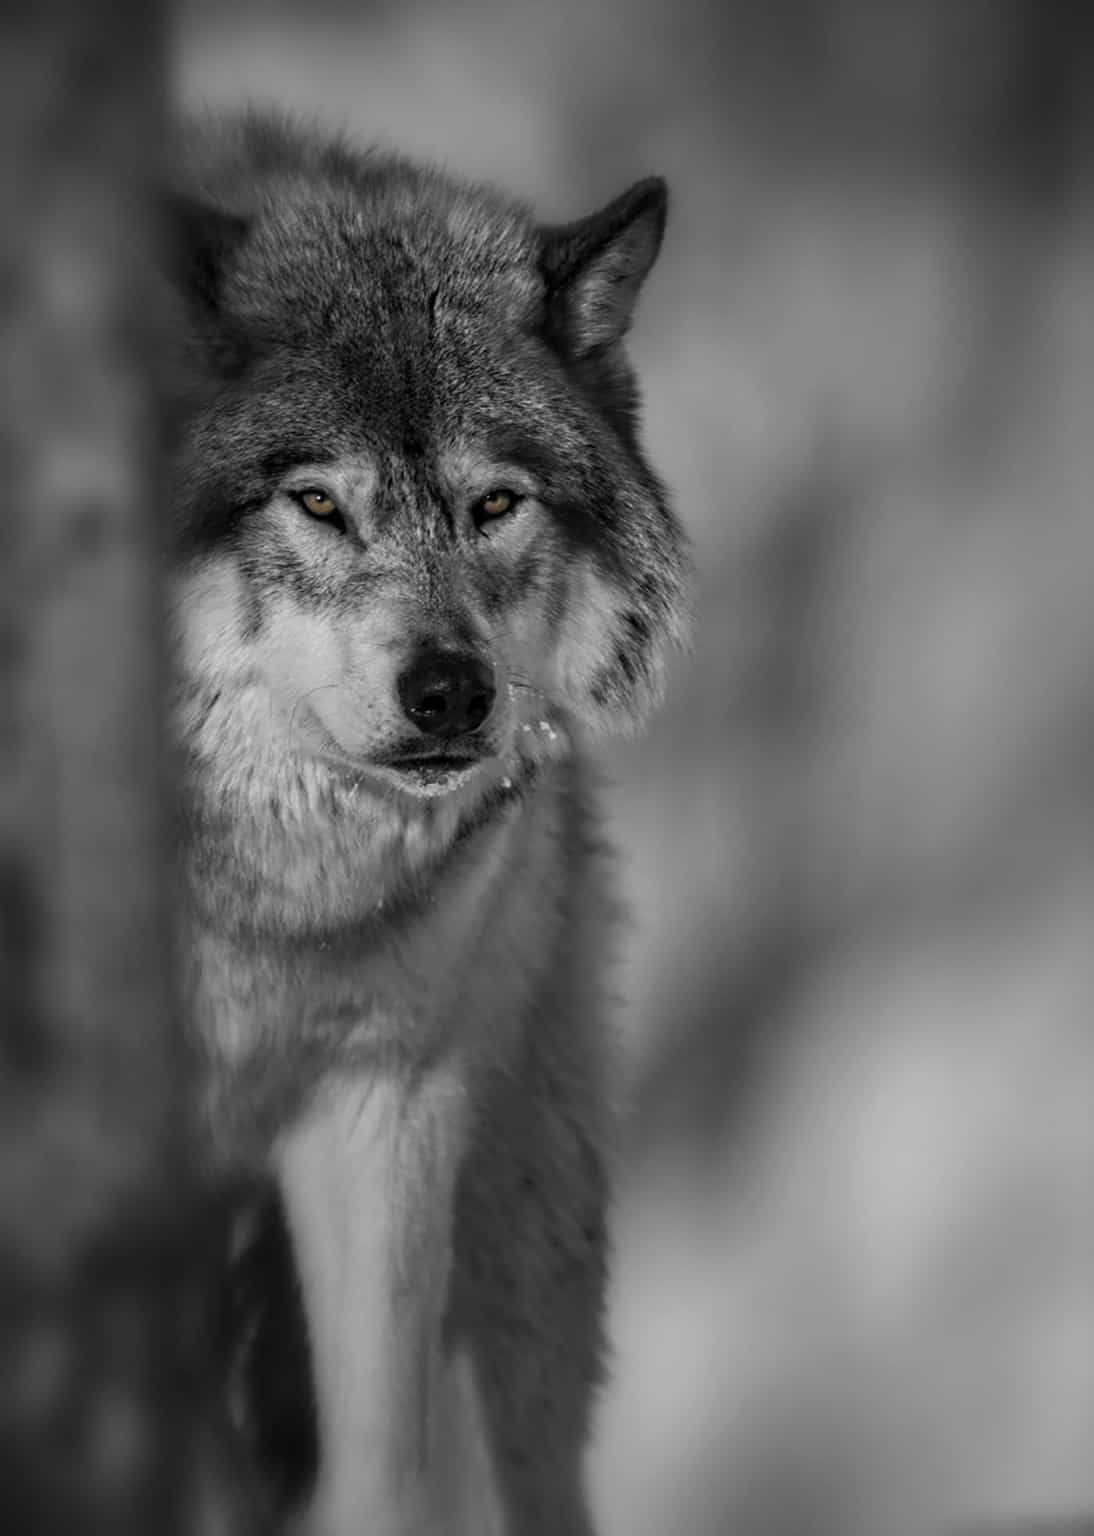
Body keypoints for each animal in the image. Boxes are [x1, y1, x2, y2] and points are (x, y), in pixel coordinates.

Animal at [168, 112, 687, 1536]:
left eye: (493, 504)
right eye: (318, 502)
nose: (451, 690)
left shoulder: (380, 1106)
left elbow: (379, 1477)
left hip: (519, 1254)